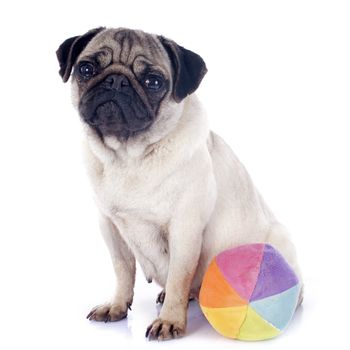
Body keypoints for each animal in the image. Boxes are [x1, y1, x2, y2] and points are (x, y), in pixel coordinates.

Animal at [56, 28, 300, 342]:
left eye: (153, 82)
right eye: (86, 69)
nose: (117, 81)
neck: (129, 157)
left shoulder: (184, 230)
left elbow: (178, 279)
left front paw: (170, 321)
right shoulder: (110, 227)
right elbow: (123, 270)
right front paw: (117, 305)